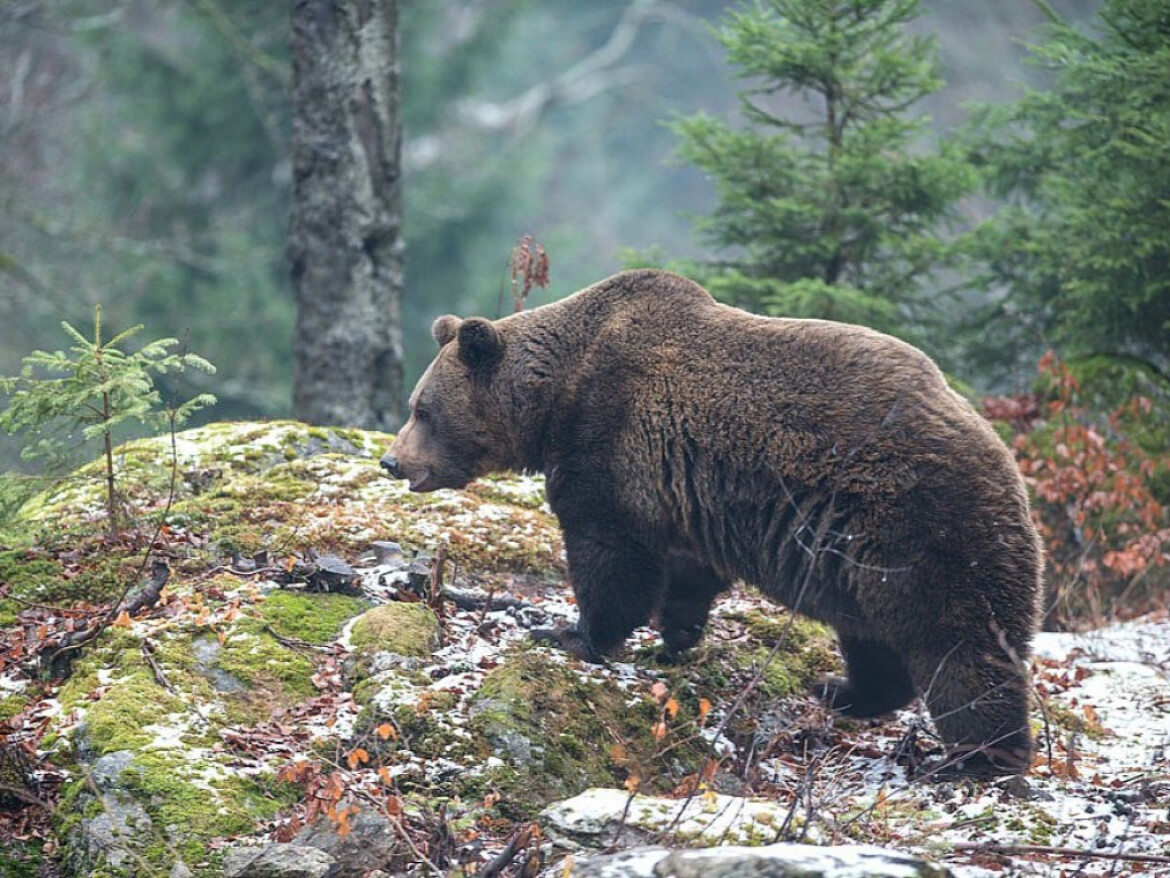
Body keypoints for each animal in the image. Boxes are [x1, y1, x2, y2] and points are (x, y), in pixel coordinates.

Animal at [381, 268, 1043, 777]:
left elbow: (610, 554)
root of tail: (1005, 459)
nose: (393, 460)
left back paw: (979, 759)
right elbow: (685, 571)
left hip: (916, 525)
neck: (556, 395)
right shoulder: (682, 490)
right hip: (856, 553)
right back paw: (840, 690)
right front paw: (673, 638)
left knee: (957, 645)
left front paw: (571, 632)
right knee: (872, 636)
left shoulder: (609, 438)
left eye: (421, 408)